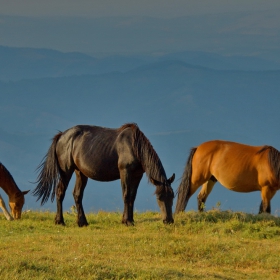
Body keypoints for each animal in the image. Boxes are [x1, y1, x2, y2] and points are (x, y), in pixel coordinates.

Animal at [32, 123, 175, 226]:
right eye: (159, 198)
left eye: (172, 197)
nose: (168, 220)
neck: (133, 146)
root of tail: (61, 135)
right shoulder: (125, 172)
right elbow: (126, 195)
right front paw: (127, 221)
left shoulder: (137, 175)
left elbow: (132, 196)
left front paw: (130, 219)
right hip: (66, 171)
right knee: (60, 191)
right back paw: (60, 221)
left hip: (80, 173)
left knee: (77, 194)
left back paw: (82, 222)